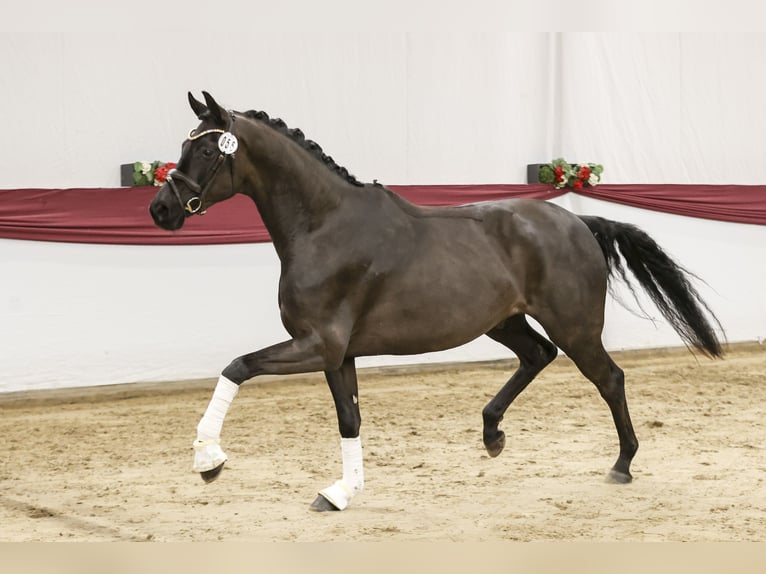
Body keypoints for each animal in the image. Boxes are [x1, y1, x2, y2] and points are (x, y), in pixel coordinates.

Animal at [149, 91, 724, 511]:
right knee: (537, 356)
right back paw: (492, 434)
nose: (161, 210)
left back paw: (622, 465)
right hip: (504, 321)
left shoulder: (317, 344)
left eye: (206, 151)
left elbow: (237, 367)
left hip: (575, 326)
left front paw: (209, 460)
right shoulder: (338, 353)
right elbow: (349, 419)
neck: (324, 227)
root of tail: (577, 222)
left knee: (609, 379)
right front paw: (340, 493)